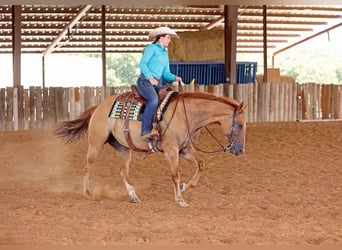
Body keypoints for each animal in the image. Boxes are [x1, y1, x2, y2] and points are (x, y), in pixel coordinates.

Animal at [54, 90, 246, 207]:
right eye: (241, 125)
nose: (240, 151)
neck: (185, 115)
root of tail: (98, 107)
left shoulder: (185, 149)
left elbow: (200, 165)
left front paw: (184, 187)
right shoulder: (171, 150)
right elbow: (175, 174)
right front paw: (180, 199)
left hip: (123, 149)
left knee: (123, 172)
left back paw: (133, 196)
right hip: (95, 144)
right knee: (87, 166)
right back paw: (87, 192)